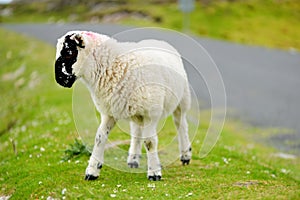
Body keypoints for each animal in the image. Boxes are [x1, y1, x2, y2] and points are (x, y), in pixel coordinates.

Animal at [54, 30, 192, 181]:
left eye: (69, 52)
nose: (60, 80)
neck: (115, 65)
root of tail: (160, 41)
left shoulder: (150, 113)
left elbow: (150, 142)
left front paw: (154, 173)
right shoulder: (109, 112)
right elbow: (99, 137)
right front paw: (92, 170)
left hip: (182, 99)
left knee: (181, 124)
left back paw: (185, 155)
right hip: (136, 110)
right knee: (137, 131)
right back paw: (133, 159)